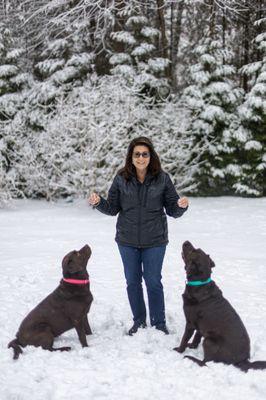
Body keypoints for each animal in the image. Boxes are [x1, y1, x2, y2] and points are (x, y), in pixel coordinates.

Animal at [174, 241, 266, 372]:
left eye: (193, 251)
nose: (186, 242)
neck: (200, 282)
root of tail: (243, 361)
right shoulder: (201, 326)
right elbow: (196, 337)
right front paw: (192, 346)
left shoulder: (190, 323)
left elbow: (184, 338)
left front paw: (179, 350)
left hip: (209, 341)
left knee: (206, 362)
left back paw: (191, 358)